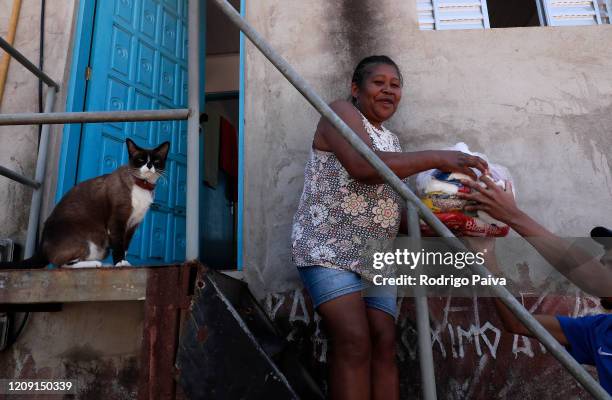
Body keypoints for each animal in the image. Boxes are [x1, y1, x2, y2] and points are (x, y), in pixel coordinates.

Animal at [2, 138, 170, 268]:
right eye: (141, 160)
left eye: (156, 161)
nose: (149, 166)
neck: (143, 185)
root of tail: (42, 244)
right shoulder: (118, 221)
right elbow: (119, 246)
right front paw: (120, 264)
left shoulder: (133, 225)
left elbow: (125, 246)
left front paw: (121, 262)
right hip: (91, 244)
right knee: (61, 263)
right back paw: (96, 264)